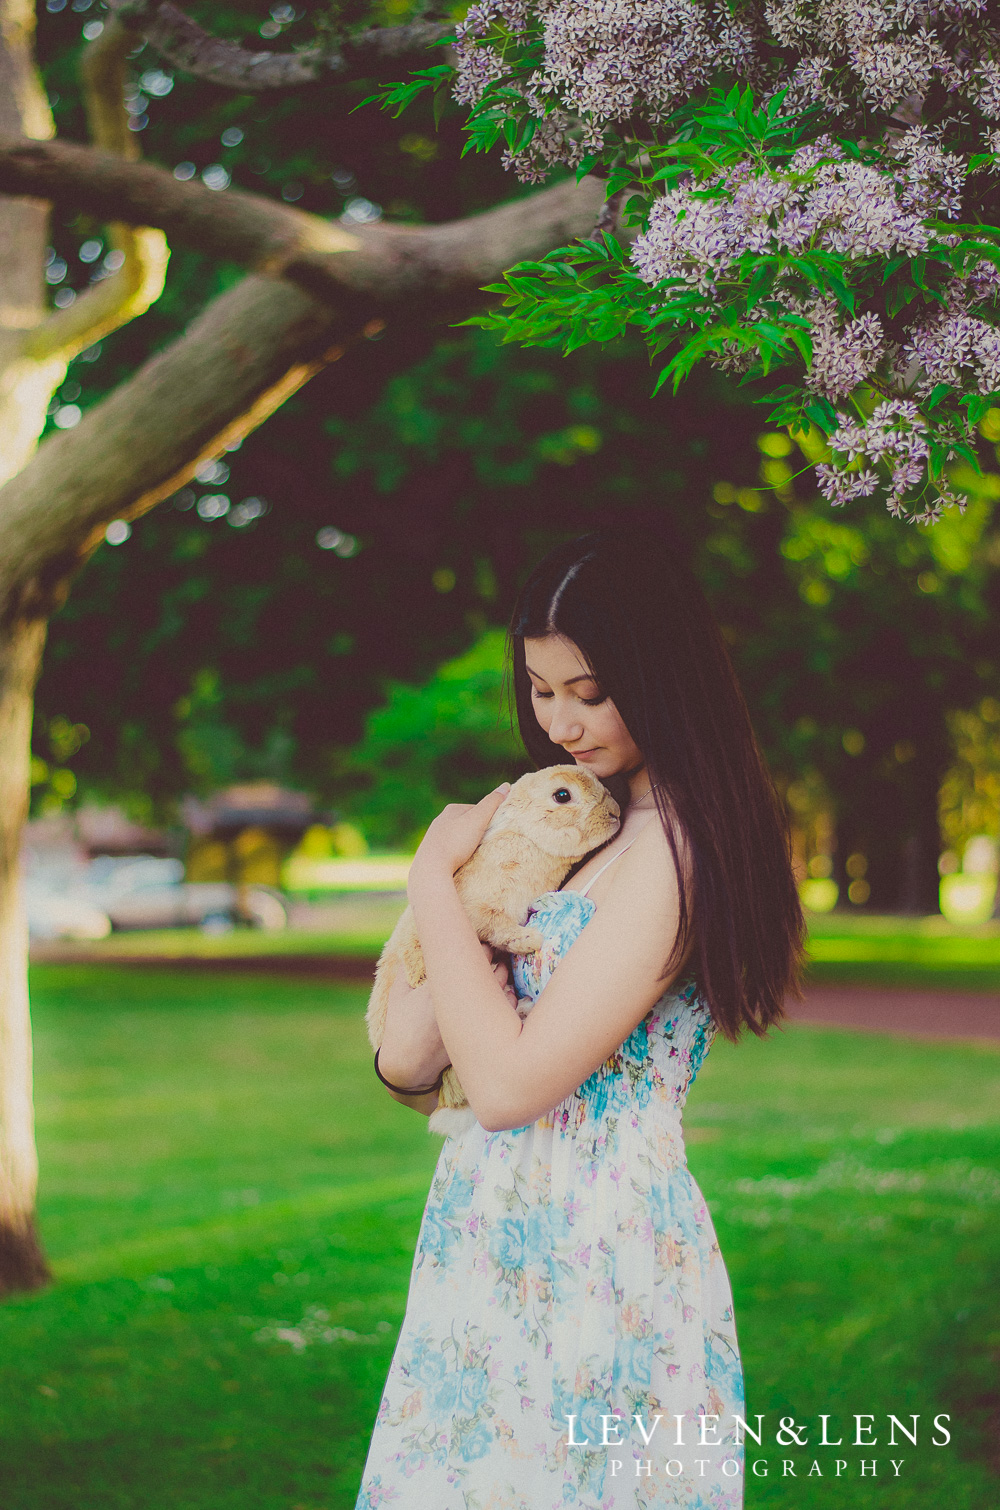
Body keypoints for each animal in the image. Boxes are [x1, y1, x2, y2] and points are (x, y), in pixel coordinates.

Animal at [367, 767, 619, 1135]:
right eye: (562, 795)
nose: (615, 812)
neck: (528, 837)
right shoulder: (479, 910)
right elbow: (498, 928)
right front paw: (530, 940)